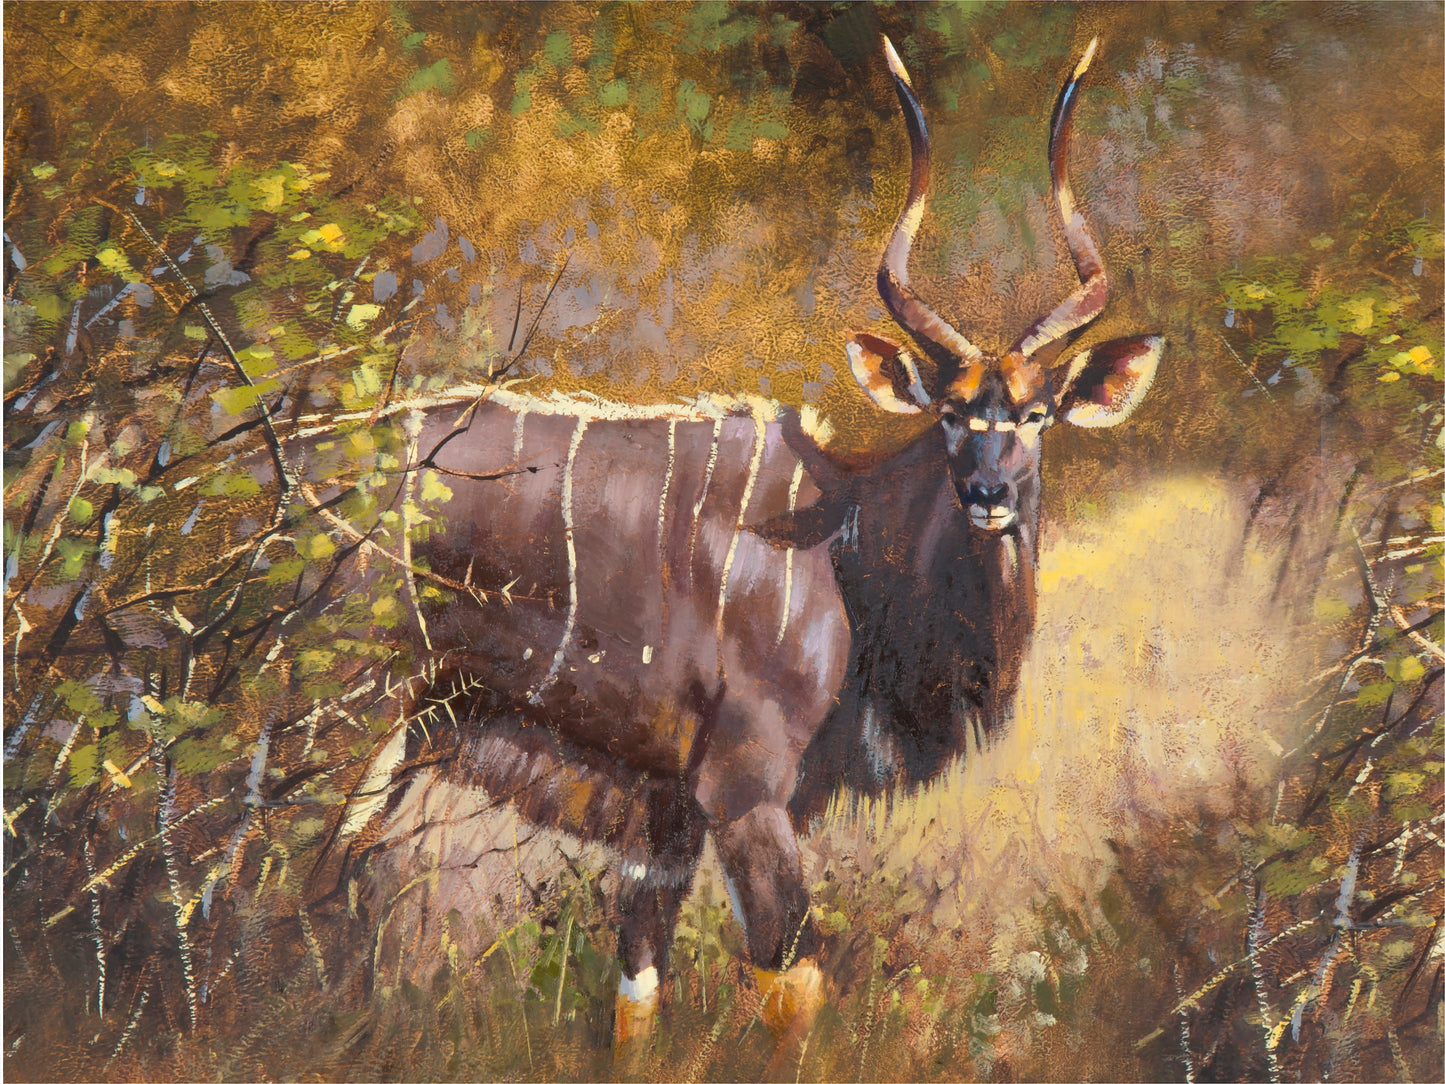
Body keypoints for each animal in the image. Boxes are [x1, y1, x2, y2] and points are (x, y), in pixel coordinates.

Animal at [324, 35, 1162, 1052]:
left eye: (1036, 414)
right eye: (951, 413)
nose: (989, 495)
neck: (845, 558)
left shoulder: (667, 820)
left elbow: (636, 994)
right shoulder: (744, 790)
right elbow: (791, 987)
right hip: (339, 718)